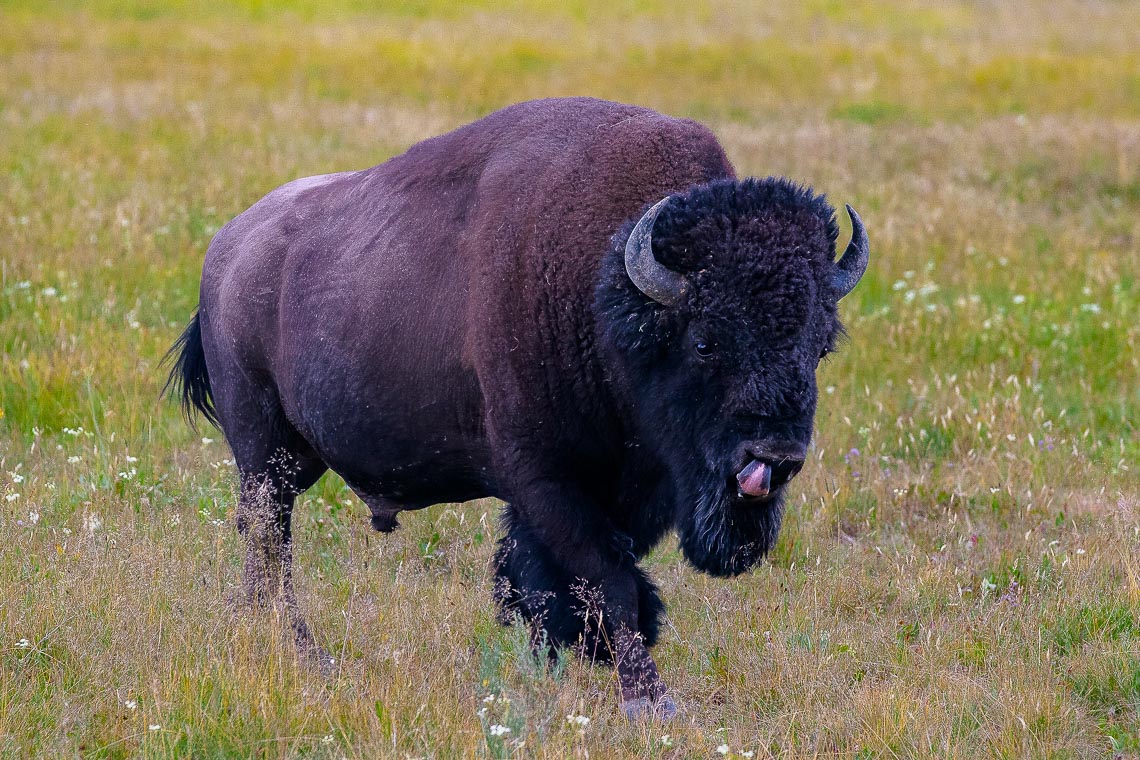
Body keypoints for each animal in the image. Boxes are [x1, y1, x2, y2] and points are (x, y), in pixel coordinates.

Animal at [165, 96, 866, 720]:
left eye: (820, 344)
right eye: (704, 341)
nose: (775, 456)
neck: (601, 287)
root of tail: (226, 249)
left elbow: (545, 582)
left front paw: (543, 672)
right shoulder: (546, 479)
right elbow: (606, 581)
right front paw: (649, 701)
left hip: (292, 458)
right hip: (263, 453)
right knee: (270, 544)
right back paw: (304, 656)